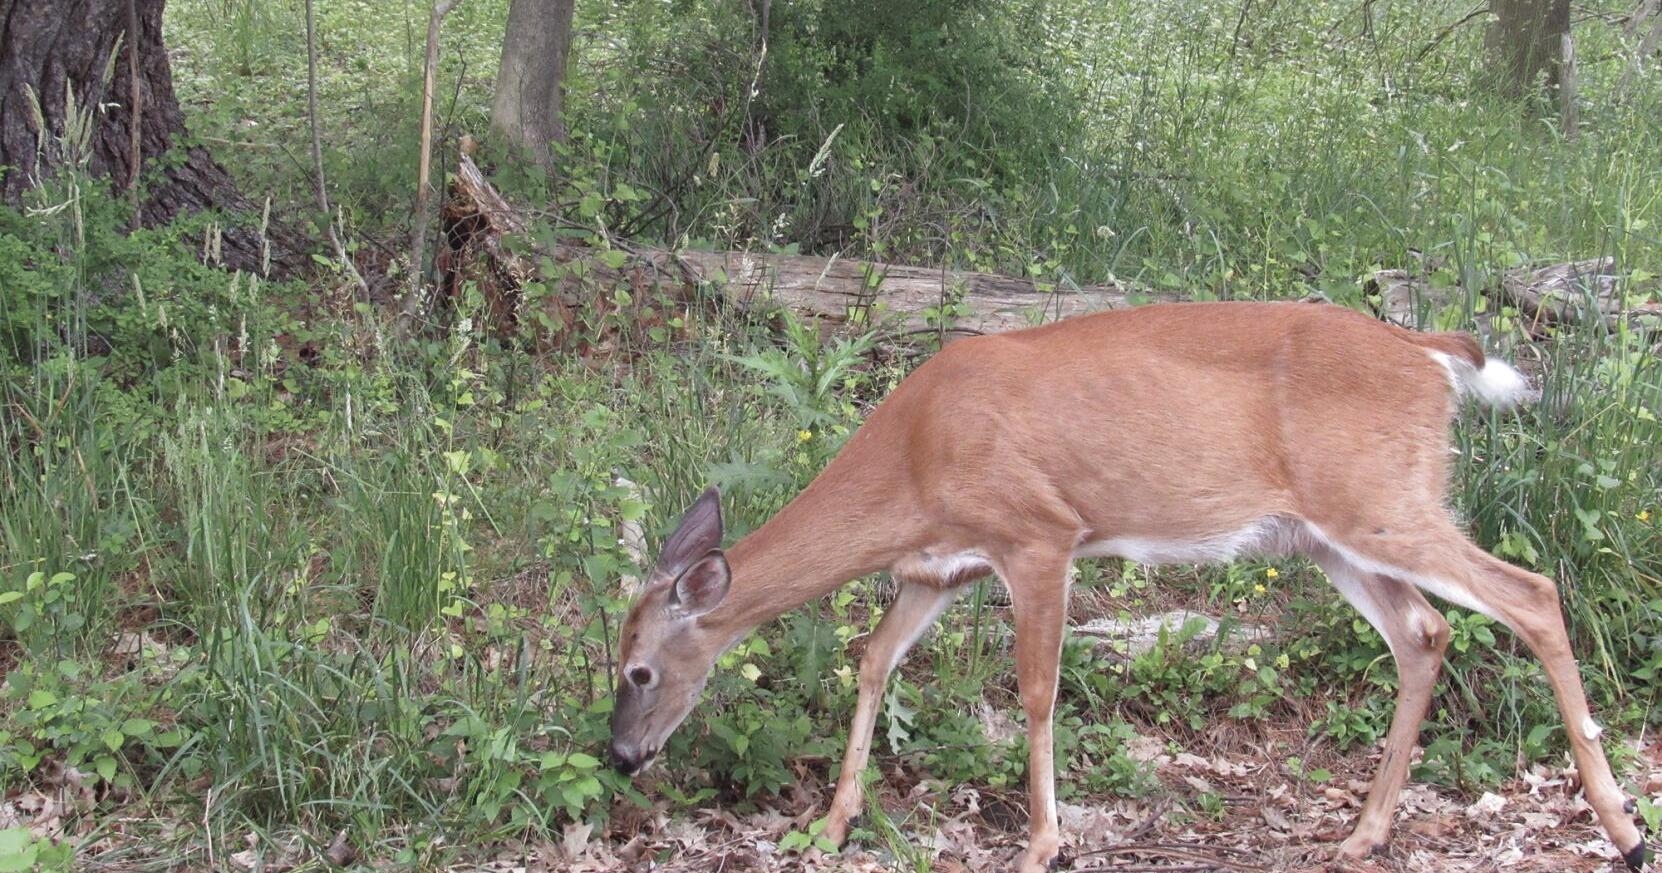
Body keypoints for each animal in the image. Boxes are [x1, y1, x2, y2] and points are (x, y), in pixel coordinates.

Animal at [607, 301, 1647, 872]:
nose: (619, 757)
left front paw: (1043, 842)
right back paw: (1364, 836)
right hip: (1331, 533)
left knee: (1531, 593)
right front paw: (830, 824)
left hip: (1382, 499)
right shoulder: (940, 567)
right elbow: (870, 661)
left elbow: (1036, 689)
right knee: (1425, 633)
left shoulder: (1039, 532)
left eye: (638, 671)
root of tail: (1433, 354)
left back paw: (1625, 828)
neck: (914, 457)